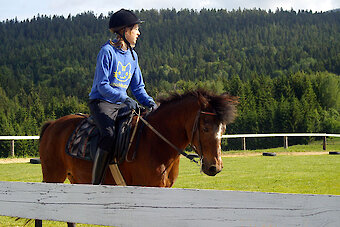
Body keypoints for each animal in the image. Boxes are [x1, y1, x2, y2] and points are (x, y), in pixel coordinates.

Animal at [39, 89, 236, 187]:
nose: (215, 167)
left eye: (223, 129)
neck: (156, 142)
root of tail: (52, 124)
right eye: (205, 127)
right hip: (53, 176)